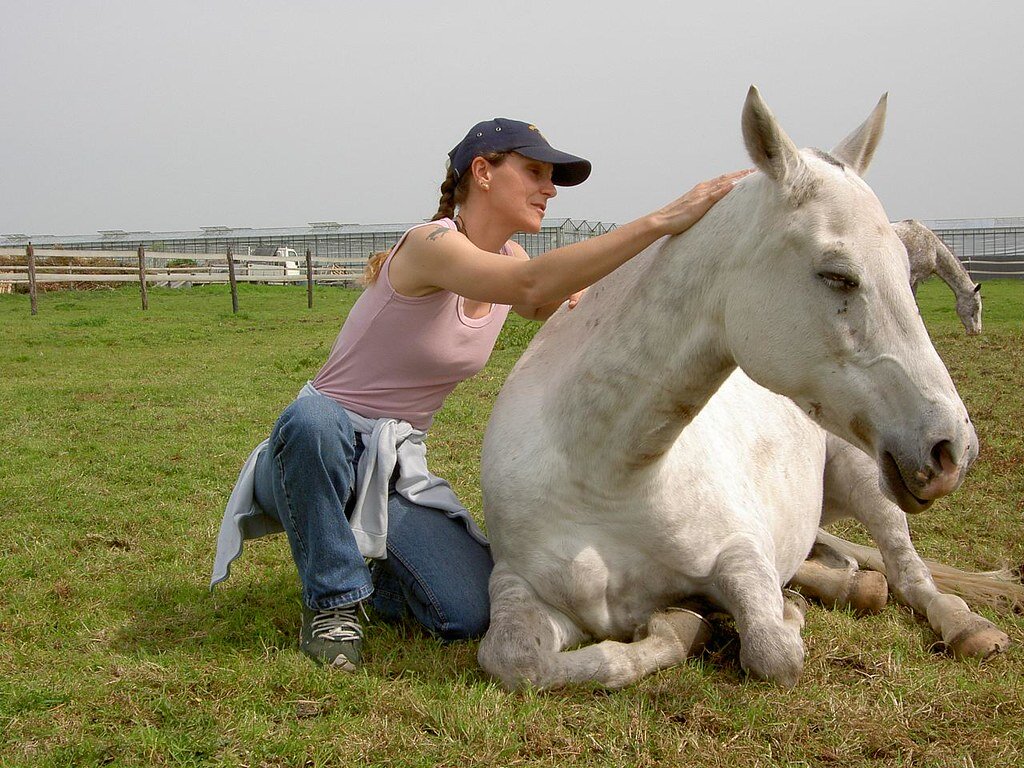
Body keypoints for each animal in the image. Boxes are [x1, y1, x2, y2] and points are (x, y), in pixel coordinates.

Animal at [477, 85, 1015, 692]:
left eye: (908, 273)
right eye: (837, 275)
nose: (953, 448)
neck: (603, 474)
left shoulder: (740, 553)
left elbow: (773, 650)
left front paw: (741, 621)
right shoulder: (518, 585)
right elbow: (515, 660)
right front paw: (689, 623)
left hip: (867, 477)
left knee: (908, 573)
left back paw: (967, 626)